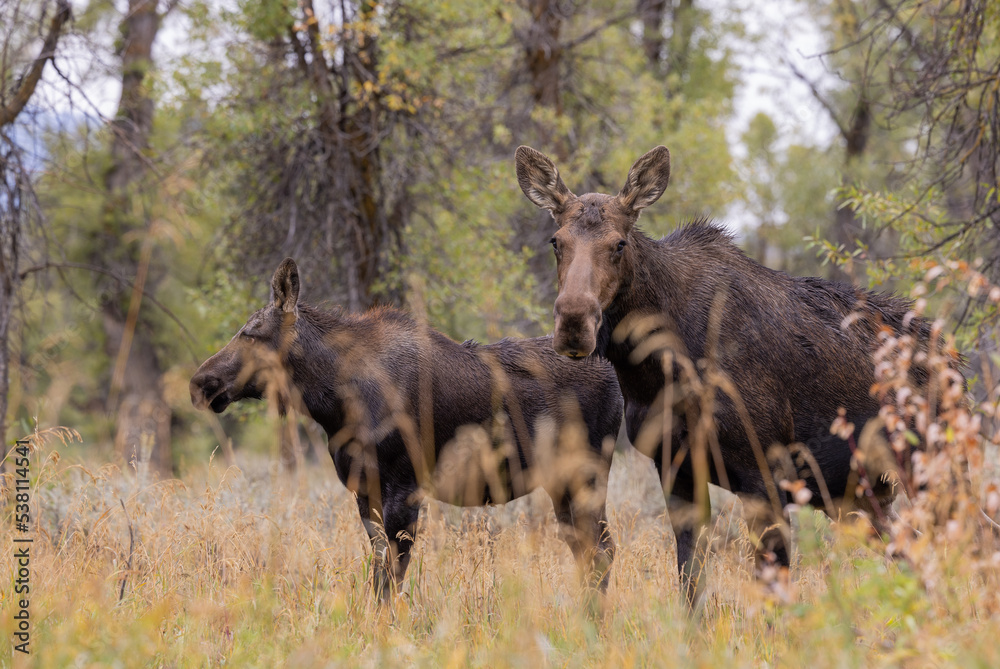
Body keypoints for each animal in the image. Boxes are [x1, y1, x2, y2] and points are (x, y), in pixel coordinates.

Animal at [190, 258, 620, 596]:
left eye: (252, 333)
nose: (200, 383)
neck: (335, 400)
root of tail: (616, 377)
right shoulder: (364, 489)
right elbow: (379, 569)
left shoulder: (404, 485)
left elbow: (391, 575)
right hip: (561, 483)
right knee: (587, 552)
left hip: (587, 475)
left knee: (602, 551)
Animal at [516, 145, 952, 604]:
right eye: (556, 242)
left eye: (618, 244)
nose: (573, 322)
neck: (655, 367)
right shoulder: (676, 469)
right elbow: (691, 580)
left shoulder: (765, 474)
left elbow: (773, 589)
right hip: (862, 497)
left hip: (930, 474)